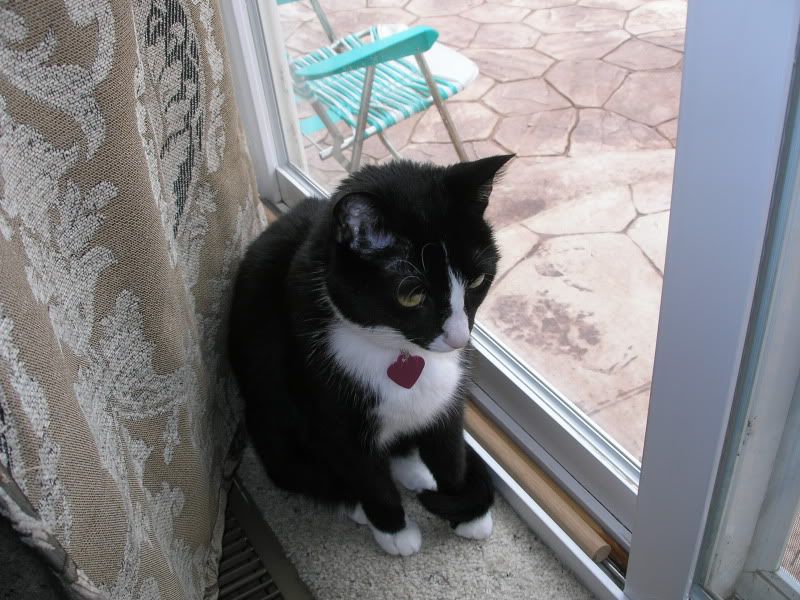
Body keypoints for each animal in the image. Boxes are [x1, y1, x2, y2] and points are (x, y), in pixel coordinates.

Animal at [228, 154, 513, 556]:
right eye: (411, 295)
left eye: (476, 281)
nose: (459, 338)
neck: (399, 351)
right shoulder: (331, 415)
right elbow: (367, 475)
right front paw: (394, 530)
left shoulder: (449, 398)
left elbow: (450, 450)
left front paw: (466, 512)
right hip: (271, 418)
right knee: (297, 471)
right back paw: (356, 504)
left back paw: (414, 471)